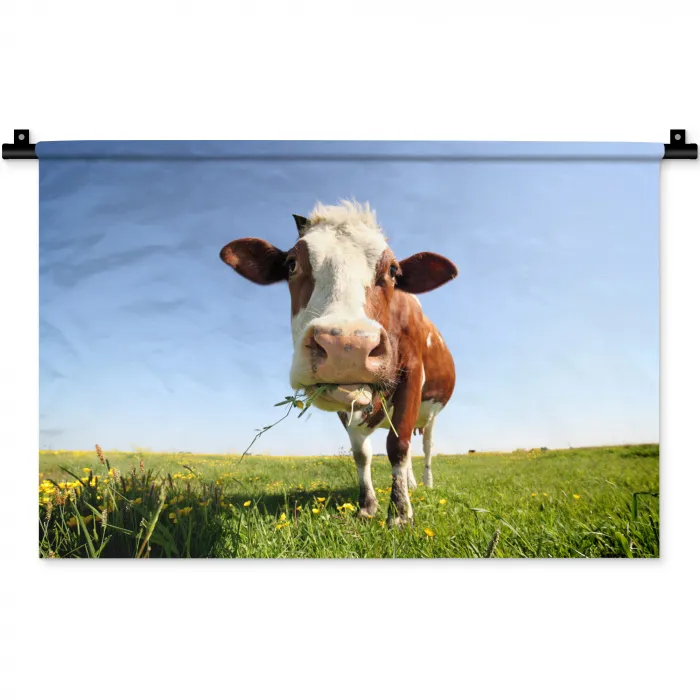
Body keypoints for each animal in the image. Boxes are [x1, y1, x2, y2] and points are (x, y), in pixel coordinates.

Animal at [220, 200, 457, 527]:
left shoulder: (412, 374)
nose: (347, 346)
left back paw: (425, 484)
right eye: (291, 264)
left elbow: (398, 446)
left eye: (393, 271)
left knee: (425, 447)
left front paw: (399, 514)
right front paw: (368, 506)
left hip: (431, 414)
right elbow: (362, 453)